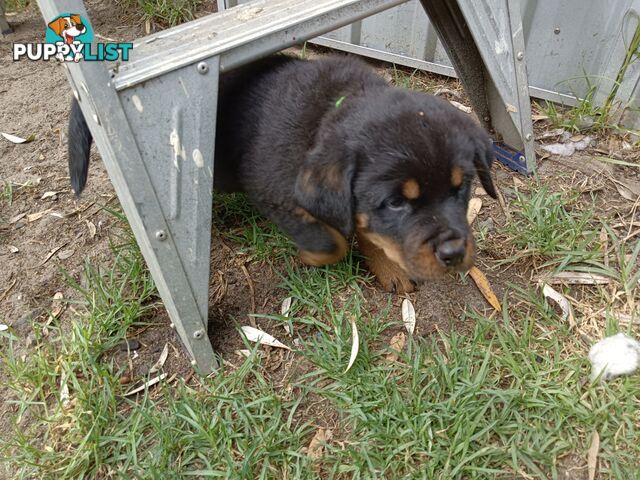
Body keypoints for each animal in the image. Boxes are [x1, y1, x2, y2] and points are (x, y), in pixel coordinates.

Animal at [69, 53, 496, 292]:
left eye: (462, 188)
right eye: (395, 203)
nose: (455, 253)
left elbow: (364, 227)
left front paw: (386, 265)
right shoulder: (278, 195)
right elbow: (330, 242)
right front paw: (310, 256)